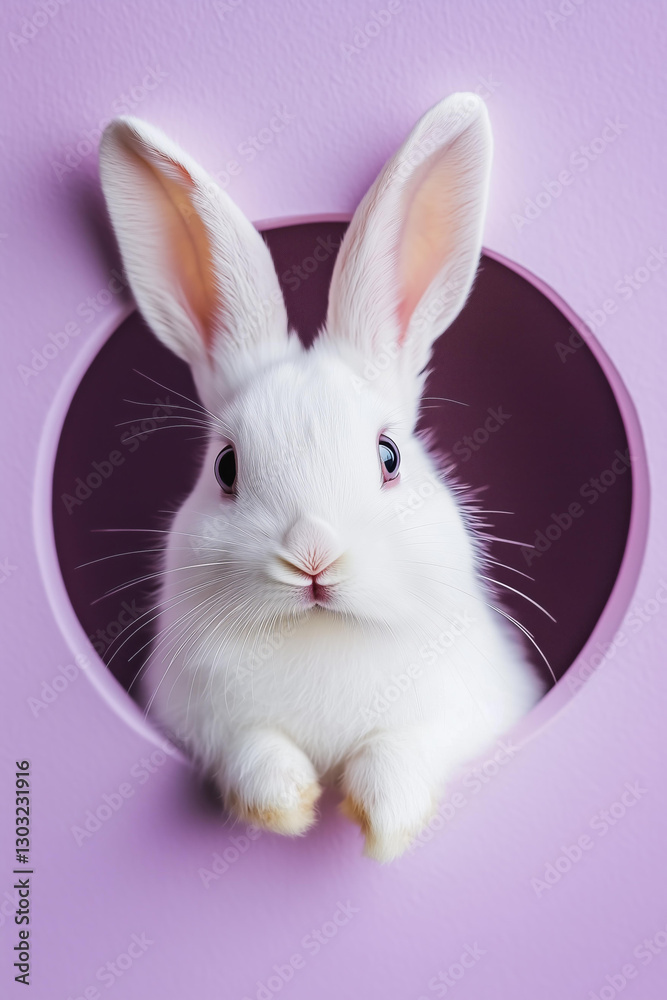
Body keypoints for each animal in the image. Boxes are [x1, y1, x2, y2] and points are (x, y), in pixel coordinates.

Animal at [99, 93, 546, 862]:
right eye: (225, 466)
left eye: (389, 456)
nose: (313, 558)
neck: (319, 633)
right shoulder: (200, 720)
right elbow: (251, 747)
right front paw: (289, 805)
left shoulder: (462, 712)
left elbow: (403, 747)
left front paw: (383, 824)